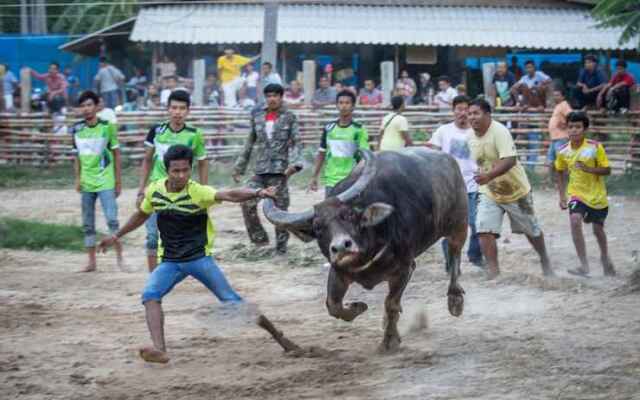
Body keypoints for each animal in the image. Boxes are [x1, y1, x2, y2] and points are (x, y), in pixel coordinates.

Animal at [262, 148, 468, 350]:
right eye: (318, 228)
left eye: (349, 215)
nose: (341, 247)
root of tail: (448, 159)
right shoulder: (339, 271)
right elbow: (333, 305)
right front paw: (358, 307)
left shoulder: (402, 268)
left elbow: (390, 303)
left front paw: (390, 340)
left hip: (459, 224)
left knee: (455, 254)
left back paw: (455, 299)